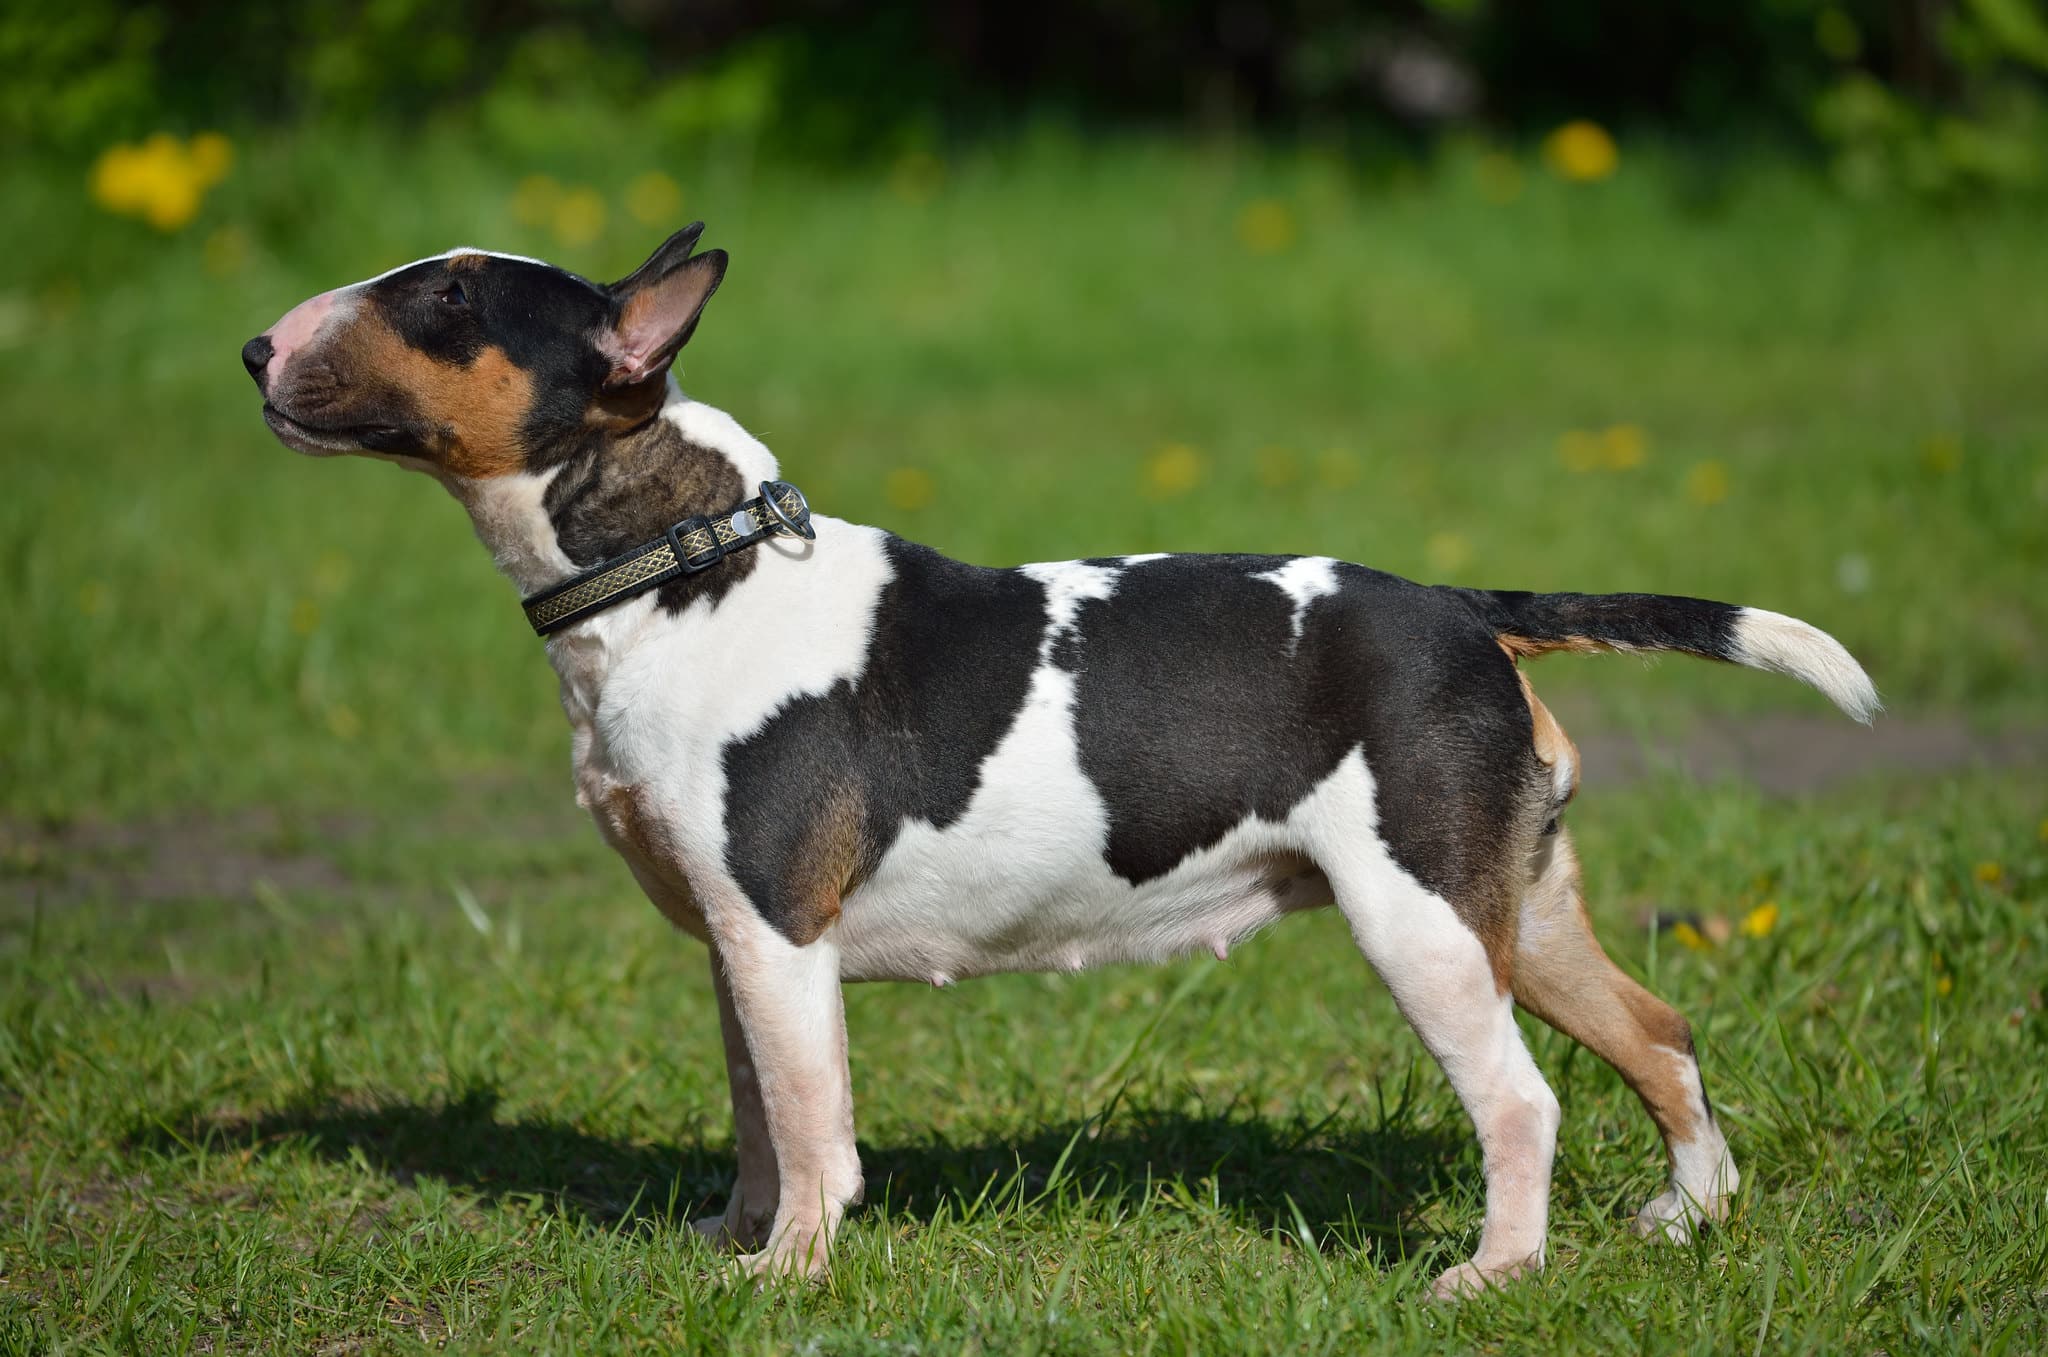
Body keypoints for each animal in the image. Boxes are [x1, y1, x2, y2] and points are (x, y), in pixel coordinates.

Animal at [239, 228, 1875, 1301]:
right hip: (1513, 900)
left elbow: (814, 1125)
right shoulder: (734, 939)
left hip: (1416, 919)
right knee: (1659, 1032)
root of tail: (1464, 609)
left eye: (448, 296)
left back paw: (1491, 1277)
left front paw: (790, 1276)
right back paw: (1690, 1221)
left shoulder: (778, 930)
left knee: (1524, 1100)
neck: (683, 568)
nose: (254, 346)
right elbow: (758, 1114)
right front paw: (730, 1242)